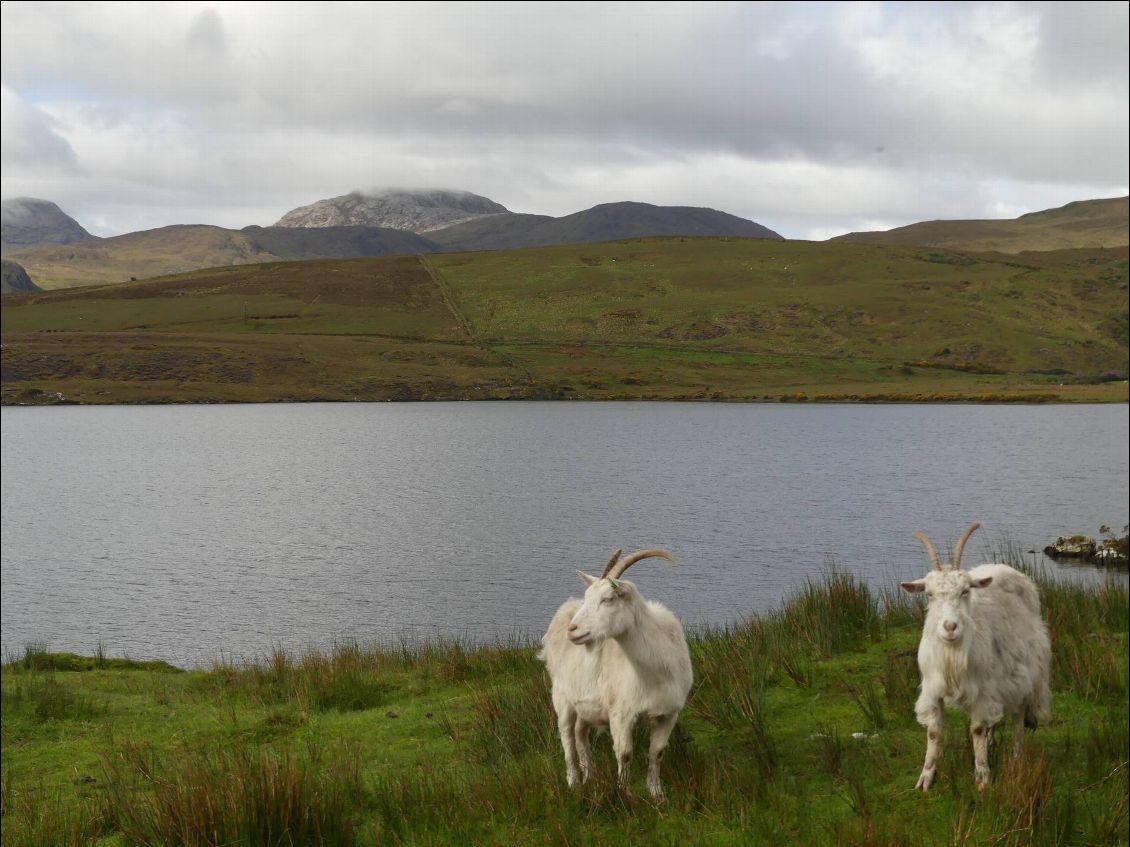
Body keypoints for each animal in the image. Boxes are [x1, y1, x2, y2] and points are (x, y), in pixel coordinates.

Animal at [535, 551, 691, 804]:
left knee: (580, 734)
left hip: (586, 704)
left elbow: (657, 753)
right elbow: (625, 754)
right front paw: (624, 795)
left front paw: (657, 795)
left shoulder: (668, 713)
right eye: (588, 596)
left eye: (607, 599)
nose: (572, 629)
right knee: (567, 737)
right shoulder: (621, 713)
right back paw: (574, 783)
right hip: (562, 696)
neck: (654, 672)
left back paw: (590, 777)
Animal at [899, 521, 1048, 795]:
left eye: (965, 591)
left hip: (1024, 674)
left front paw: (982, 777)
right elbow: (934, 733)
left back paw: (1017, 756)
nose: (950, 627)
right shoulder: (932, 690)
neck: (952, 656)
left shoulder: (984, 690)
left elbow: (977, 729)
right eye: (929, 594)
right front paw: (926, 778)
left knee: (1018, 717)